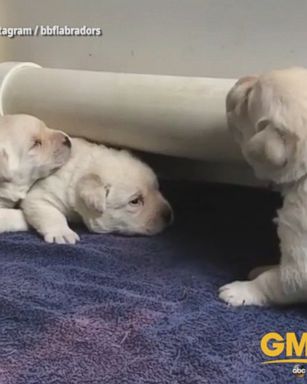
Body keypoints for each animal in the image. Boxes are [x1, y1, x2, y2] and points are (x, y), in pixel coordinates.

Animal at [3, 138, 173, 243]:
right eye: (135, 201)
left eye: (157, 188)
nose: (169, 214)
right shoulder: (42, 196)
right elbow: (51, 214)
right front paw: (62, 233)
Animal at [220, 66, 307, 306]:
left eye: (248, 99)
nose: (240, 78)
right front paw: (265, 267)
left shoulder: (300, 266)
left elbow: (274, 280)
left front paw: (239, 290)